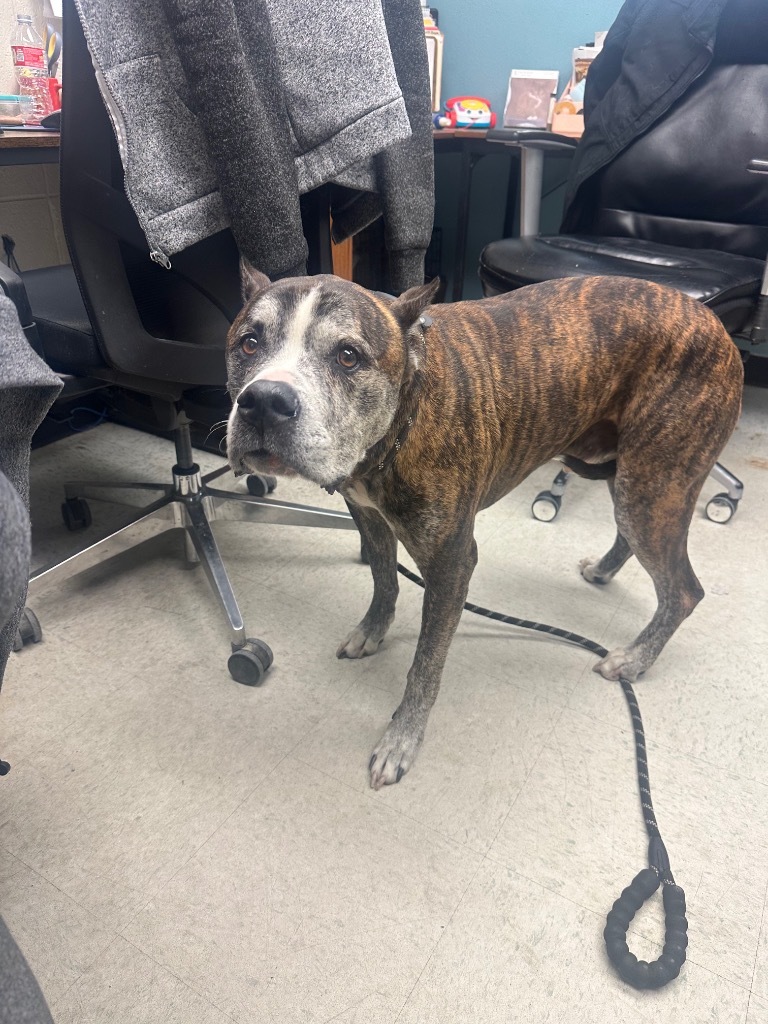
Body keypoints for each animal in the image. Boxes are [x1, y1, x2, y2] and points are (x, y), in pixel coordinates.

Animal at [227, 266, 745, 790]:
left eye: (347, 356)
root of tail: (713, 322)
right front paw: (373, 629)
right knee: (630, 537)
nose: (264, 401)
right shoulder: (368, 517)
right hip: (629, 480)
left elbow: (425, 664)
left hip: (653, 485)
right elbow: (384, 579)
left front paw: (402, 738)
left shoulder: (452, 564)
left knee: (684, 590)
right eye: (249, 344)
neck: (404, 416)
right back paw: (603, 571)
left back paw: (635, 659)